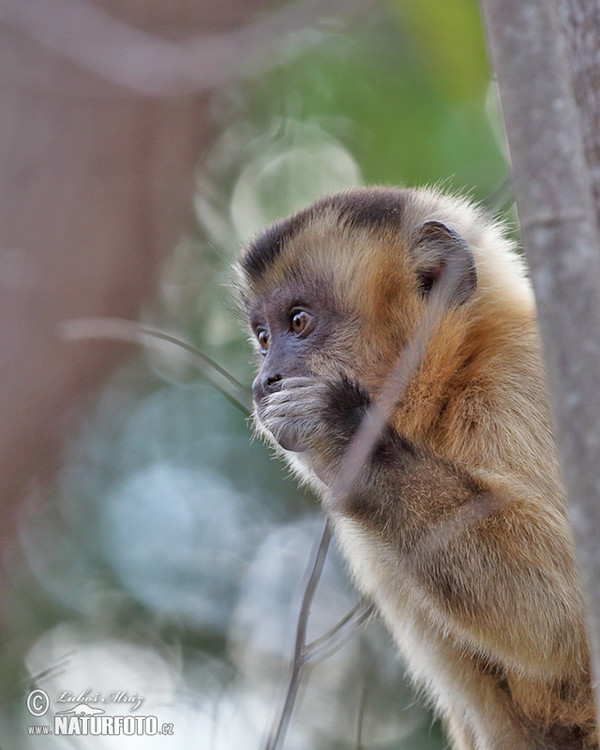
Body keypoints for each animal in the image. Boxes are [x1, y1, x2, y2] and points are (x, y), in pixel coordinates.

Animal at [234, 188, 596, 750]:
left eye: (298, 322)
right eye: (263, 337)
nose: (264, 380)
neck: (457, 375)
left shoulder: (520, 379)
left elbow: (564, 614)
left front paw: (345, 432)